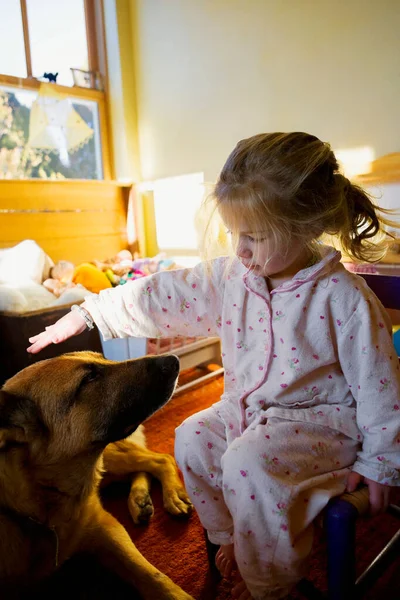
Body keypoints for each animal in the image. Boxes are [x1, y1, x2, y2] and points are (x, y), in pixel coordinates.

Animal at [0, 352, 194, 600]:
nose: (175, 360)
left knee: (160, 459)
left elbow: (152, 575)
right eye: (88, 378)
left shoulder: (105, 525)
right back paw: (139, 499)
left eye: (102, 358)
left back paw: (171, 495)